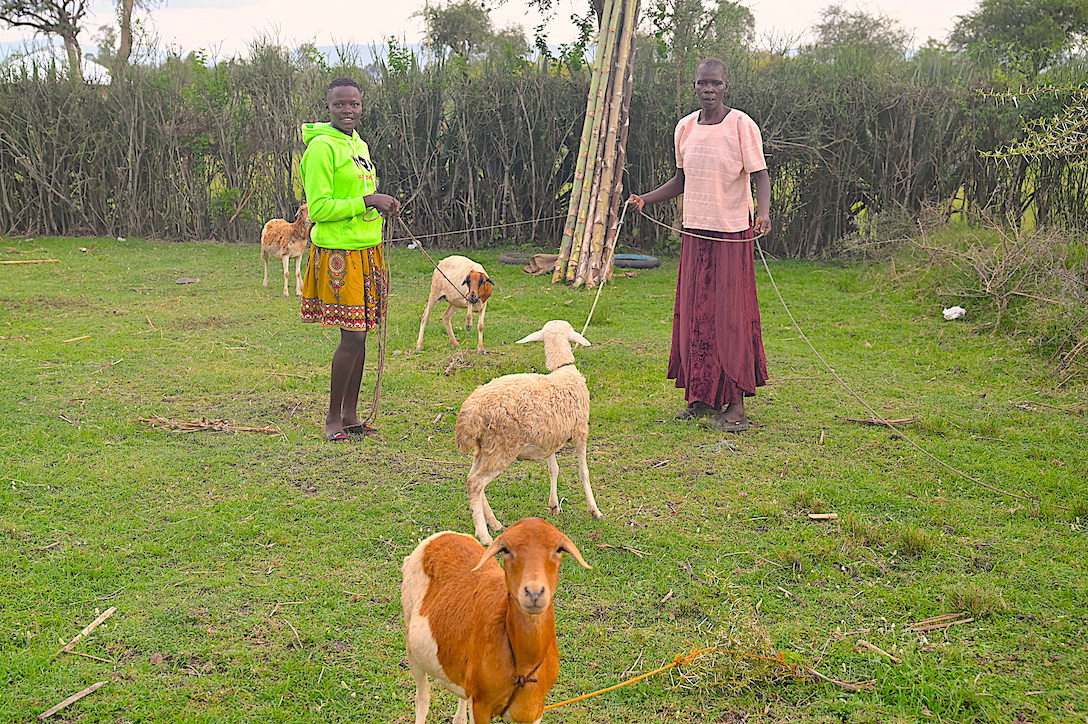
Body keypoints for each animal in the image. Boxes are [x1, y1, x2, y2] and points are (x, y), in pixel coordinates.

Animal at [452, 320, 604, 544]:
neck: (563, 371)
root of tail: (471, 413)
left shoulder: (550, 439)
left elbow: (554, 469)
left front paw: (554, 505)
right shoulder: (580, 432)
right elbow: (583, 472)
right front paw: (594, 510)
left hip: (485, 446)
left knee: (472, 478)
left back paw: (494, 523)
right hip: (502, 447)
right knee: (475, 483)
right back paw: (484, 534)